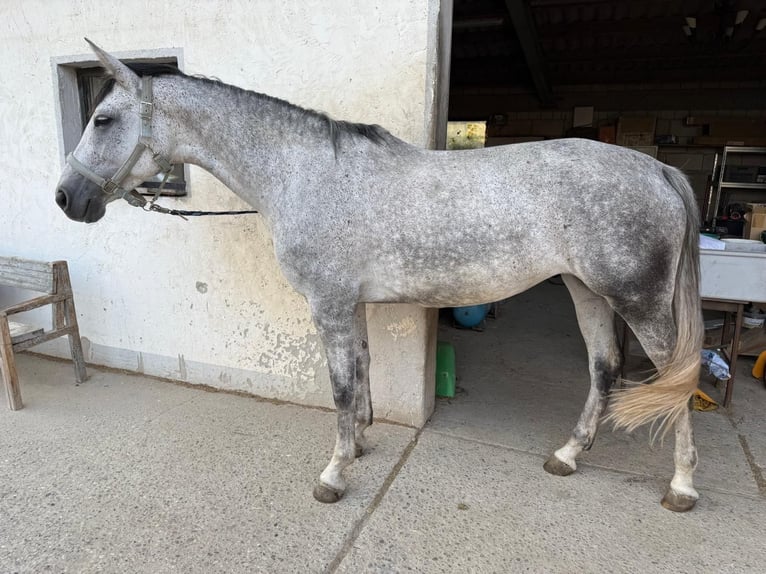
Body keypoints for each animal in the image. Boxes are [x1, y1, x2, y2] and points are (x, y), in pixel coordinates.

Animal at [56, 41, 703, 512]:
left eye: (103, 118)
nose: (67, 198)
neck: (305, 174)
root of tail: (657, 169)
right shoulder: (352, 304)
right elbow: (361, 373)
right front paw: (360, 445)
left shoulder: (329, 303)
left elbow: (342, 387)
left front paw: (334, 474)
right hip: (587, 290)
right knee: (603, 368)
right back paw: (568, 455)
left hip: (639, 301)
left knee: (677, 377)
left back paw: (681, 486)